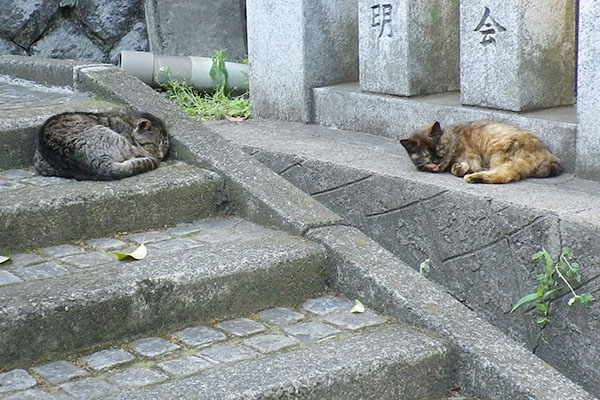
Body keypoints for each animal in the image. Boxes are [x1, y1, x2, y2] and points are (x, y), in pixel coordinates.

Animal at [398, 119, 564, 184]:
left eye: (440, 149)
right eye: (425, 155)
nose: (436, 161)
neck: (454, 137)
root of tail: (550, 156)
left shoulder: (472, 157)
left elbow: (462, 166)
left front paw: (459, 168)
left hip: (501, 154)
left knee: (505, 174)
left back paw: (473, 177)